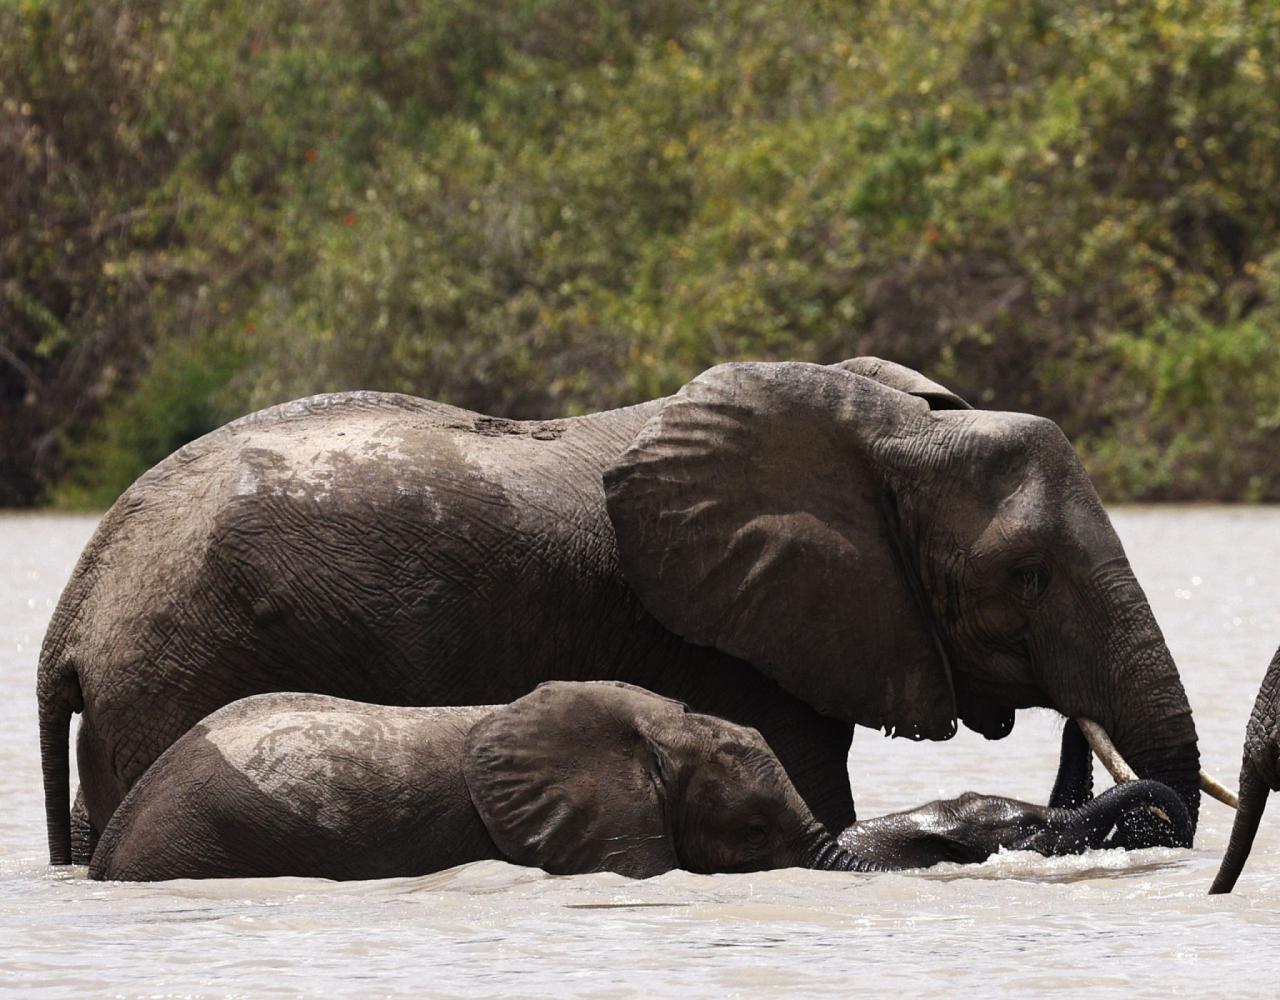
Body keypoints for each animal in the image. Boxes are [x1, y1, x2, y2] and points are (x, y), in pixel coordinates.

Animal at [35, 355, 1203, 860]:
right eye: (1028, 576)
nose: (1074, 732)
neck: (887, 426)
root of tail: (74, 612)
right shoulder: (732, 642)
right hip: (185, 660)